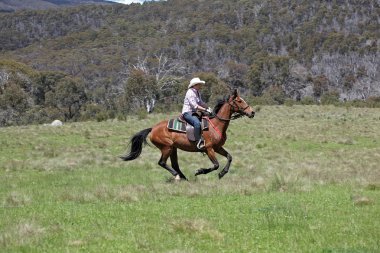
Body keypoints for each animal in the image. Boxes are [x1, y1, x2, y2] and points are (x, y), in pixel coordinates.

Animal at [120, 89, 254, 180]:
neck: (215, 124)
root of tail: (153, 128)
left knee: (174, 164)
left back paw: (183, 177)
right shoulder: (209, 148)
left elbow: (229, 157)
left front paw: (222, 173)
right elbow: (216, 165)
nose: (252, 112)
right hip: (167, 147)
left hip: (173, 148)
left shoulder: (217, 147)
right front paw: (200, 171)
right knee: (162, 163)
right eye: (239, 101)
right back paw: (177, 176)